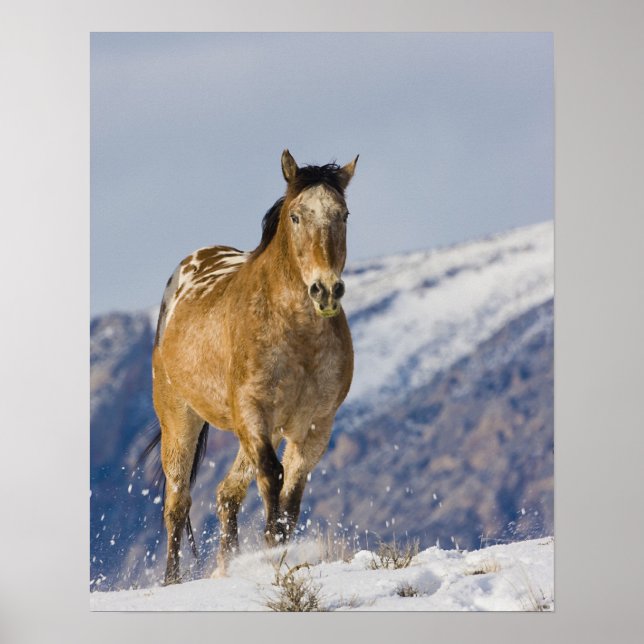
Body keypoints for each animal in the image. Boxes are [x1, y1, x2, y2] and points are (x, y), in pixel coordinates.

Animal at [148, 149, 358, 584]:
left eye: (343, 214)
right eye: (296, 216)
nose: (326, 291)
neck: (298, 338)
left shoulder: (314, 426)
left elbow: (291, 492)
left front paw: (280, 553)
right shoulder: (252, 412)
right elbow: (272, 476)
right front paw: (271, 550)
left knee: (227, 493)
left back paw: (226, 568)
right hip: (179, 417)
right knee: (177, 503)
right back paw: (173, 580)